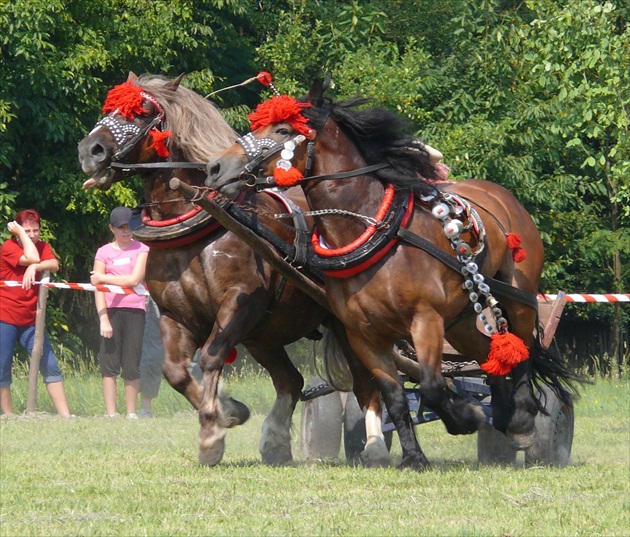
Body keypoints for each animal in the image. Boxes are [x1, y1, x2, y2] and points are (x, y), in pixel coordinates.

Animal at [76, 73, 388, 466]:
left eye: (142, 110)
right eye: (111, 106)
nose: (90, 151)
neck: (194, 226)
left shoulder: (239, 302)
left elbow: (211, 356)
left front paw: (213, 430)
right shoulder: (173, 314)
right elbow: (175, 371)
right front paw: (228, 411)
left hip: (344, 324)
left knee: (366, 380)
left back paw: (375, 446)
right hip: (264, 334)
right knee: (290, 381)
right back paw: (275, 441)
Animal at [207, 79, 584, 468]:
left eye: (282, 130)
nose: (216, 168)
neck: (374, 231)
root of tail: (500, 193)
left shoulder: (425, 320)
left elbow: (432, 386)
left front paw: (464, 417)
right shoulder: (364, 335)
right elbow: (395, 397)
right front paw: (414, 457)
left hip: (518, 295)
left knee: (521, 350)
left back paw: (521, 419)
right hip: (462, 321)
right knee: (489, 358)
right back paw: (503, 416)